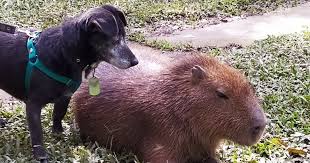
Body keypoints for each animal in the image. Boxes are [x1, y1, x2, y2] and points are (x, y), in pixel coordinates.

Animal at [0, 4, 138, 161]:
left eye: (124, 37)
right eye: (114, 40)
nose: (135, 62)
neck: (65, 52)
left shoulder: (66, 96)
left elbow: (58, 114)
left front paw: (59, 135)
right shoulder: (33, 105)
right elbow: (37, 134)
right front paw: (41, 156)